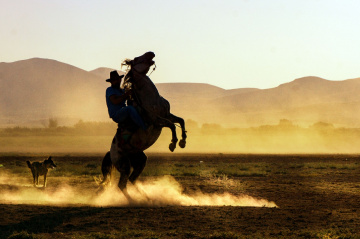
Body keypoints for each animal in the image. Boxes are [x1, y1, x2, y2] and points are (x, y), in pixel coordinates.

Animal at [99, 51, 188, 201]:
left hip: (140, 160)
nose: (150, 53)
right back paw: (132, 201)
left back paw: (147, 197)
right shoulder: (156, 122)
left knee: (132, 179)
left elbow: (181, 121)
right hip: (124, 165)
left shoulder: (167, 114)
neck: (151, 99)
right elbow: (172, 126)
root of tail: (110, 153)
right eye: (136, 59)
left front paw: (183, 142)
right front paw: (173, 144)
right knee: (122, 184)